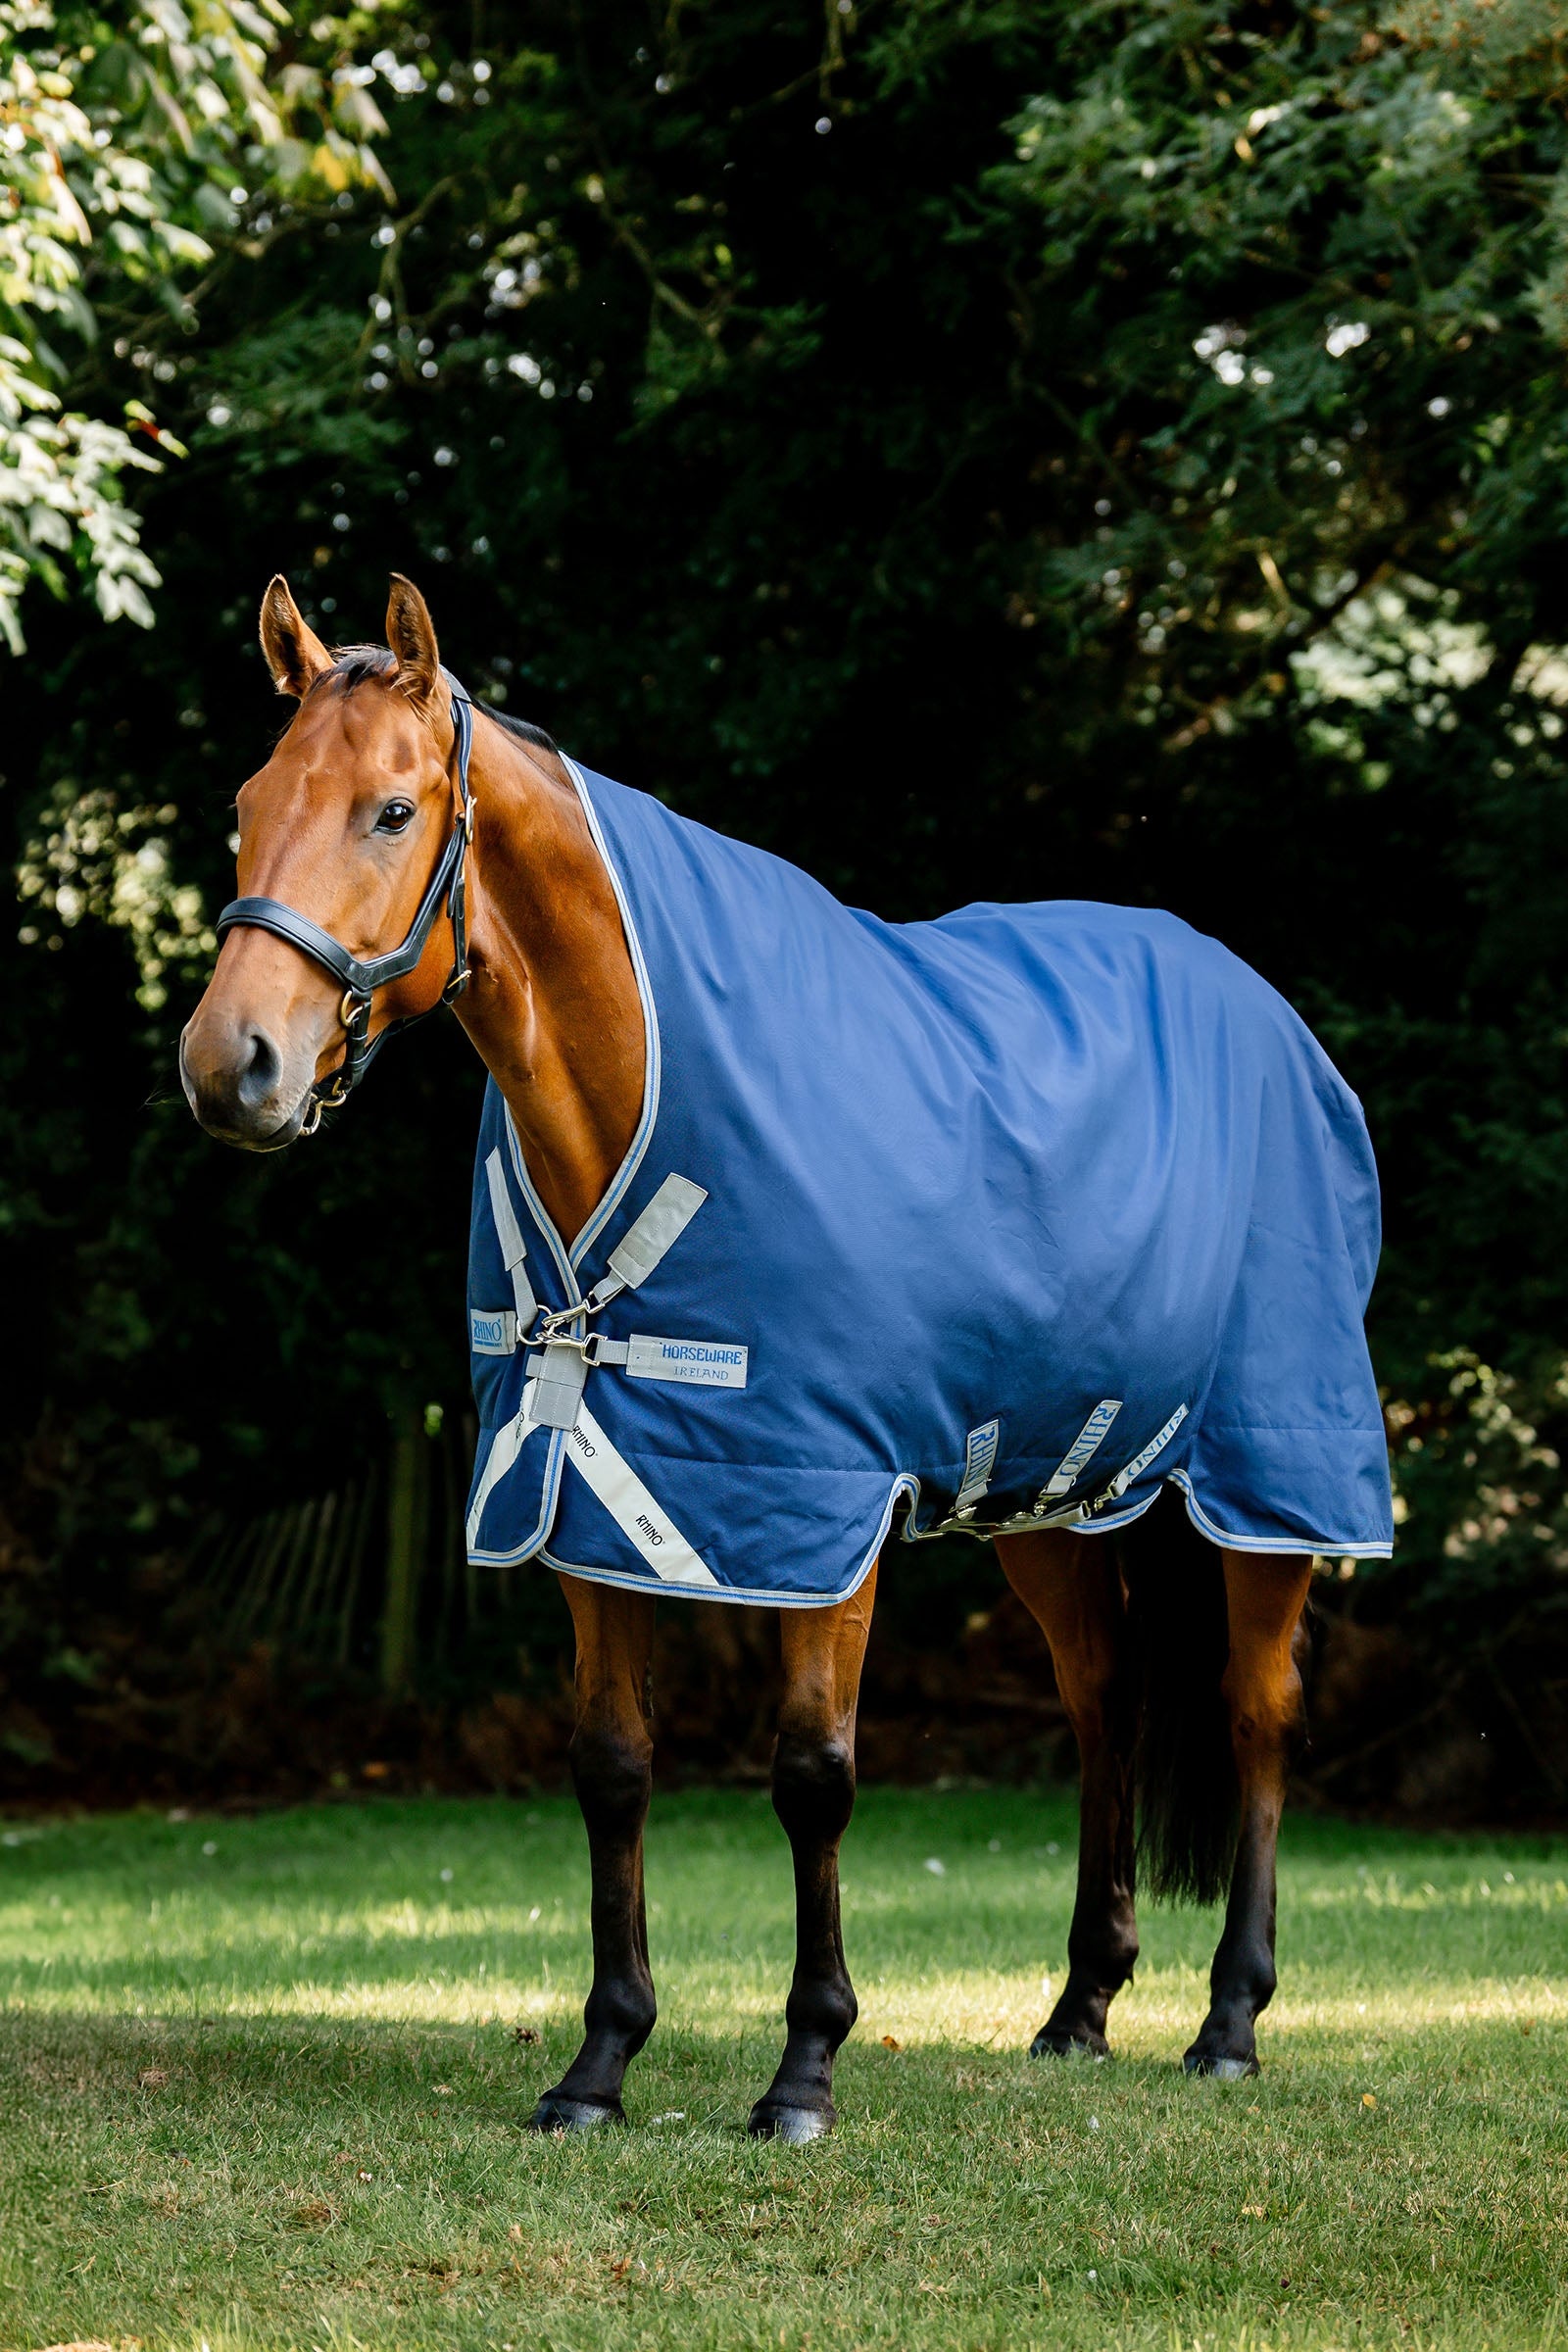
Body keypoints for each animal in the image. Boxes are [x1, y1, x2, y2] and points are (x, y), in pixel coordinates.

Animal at [181, 574, 1392, 2141]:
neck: (645, 1078)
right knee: (1106, 1701)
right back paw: (1078, 2007)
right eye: (247, 805)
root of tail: (1267, 1010)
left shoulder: (827, 1507)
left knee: (1255, 1713)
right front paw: (600, 2064)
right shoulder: (584, 1489)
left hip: (1270, 1474)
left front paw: (805, 2067)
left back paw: (1230, 2019)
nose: (232, 1067)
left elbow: (814, 1775)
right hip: (1052, 1497)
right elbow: (612, 1771)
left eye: (392, 812)